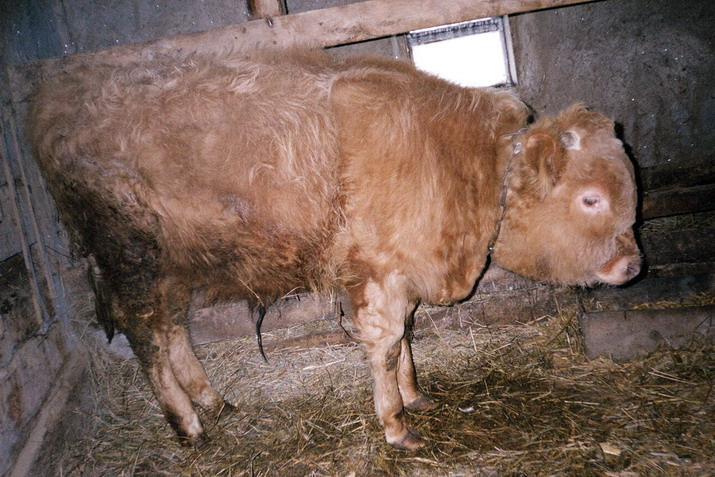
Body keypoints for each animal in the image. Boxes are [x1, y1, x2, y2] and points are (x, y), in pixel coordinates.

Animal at [29, 49, 640, 450]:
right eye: (590, 198)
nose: (633, 263)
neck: (457, 157)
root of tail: (54, 101)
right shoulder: (377, 275)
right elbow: (386, 346)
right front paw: (395, 424)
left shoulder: (399, 273)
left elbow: (407, 336)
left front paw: (414, 395)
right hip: (131, 260)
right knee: (148, 338)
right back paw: (188, 425)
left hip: (172, 268)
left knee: (173, 329)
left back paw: (213, 401)